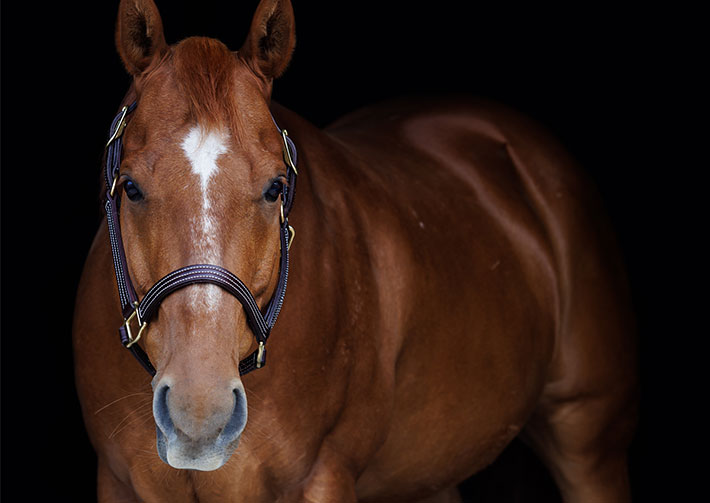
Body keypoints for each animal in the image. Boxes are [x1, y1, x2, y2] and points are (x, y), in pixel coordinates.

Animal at [72, 0, 638, 501]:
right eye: (131, 188)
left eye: (275, 188)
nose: (199, 413)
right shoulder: (117, 484)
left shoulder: (322, 480)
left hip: (589, 441)